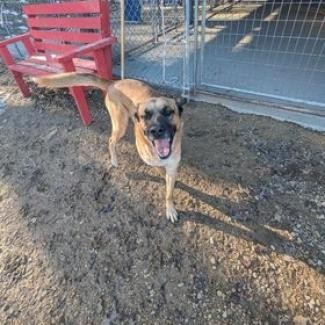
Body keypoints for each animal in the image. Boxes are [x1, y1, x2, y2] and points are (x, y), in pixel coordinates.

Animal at [33, 72, 185, 221]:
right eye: (145, 116)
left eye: (168, 112)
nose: (156, 130)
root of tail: (114, 82)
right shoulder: (153, 161)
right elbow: (161, 171)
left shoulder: (172, 166)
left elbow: (169, 192)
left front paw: (170, 207)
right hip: (120, 125)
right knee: (111, 140)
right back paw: (114, 160)